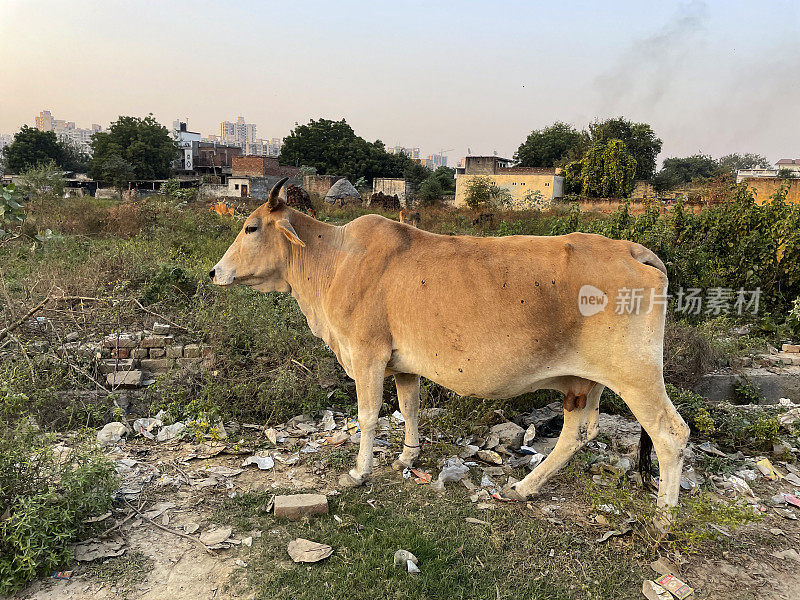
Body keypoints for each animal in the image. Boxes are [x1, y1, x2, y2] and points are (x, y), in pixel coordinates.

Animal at [211, 177, 688, 524]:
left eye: (251, 227)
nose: (215, 272)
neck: (334, 260)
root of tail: (633, 249)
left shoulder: (367, 356)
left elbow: (368, 416)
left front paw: (360, 472)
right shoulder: (403, 365)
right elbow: (408, 407)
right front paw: (408, 455)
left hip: (636, 375)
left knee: (671, 433)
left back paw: (664, 516)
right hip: (585, 382)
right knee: (578, 434)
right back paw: (525, 488)